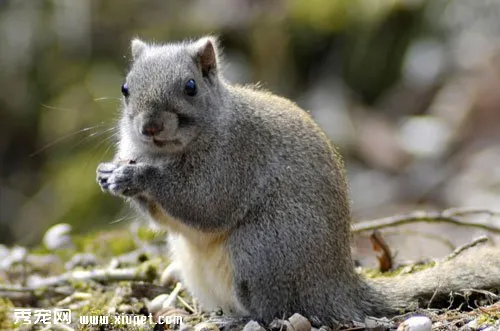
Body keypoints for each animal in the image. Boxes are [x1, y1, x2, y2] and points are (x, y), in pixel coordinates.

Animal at [96, 36, 500, 326]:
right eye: (125, 88)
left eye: (191, 86)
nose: (150, 127)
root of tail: (335, 285)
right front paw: (109, 173)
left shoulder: (234, 160)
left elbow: (205, 203)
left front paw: (137, 175)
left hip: (261, 252)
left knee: (275, 308)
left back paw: (240, 320)